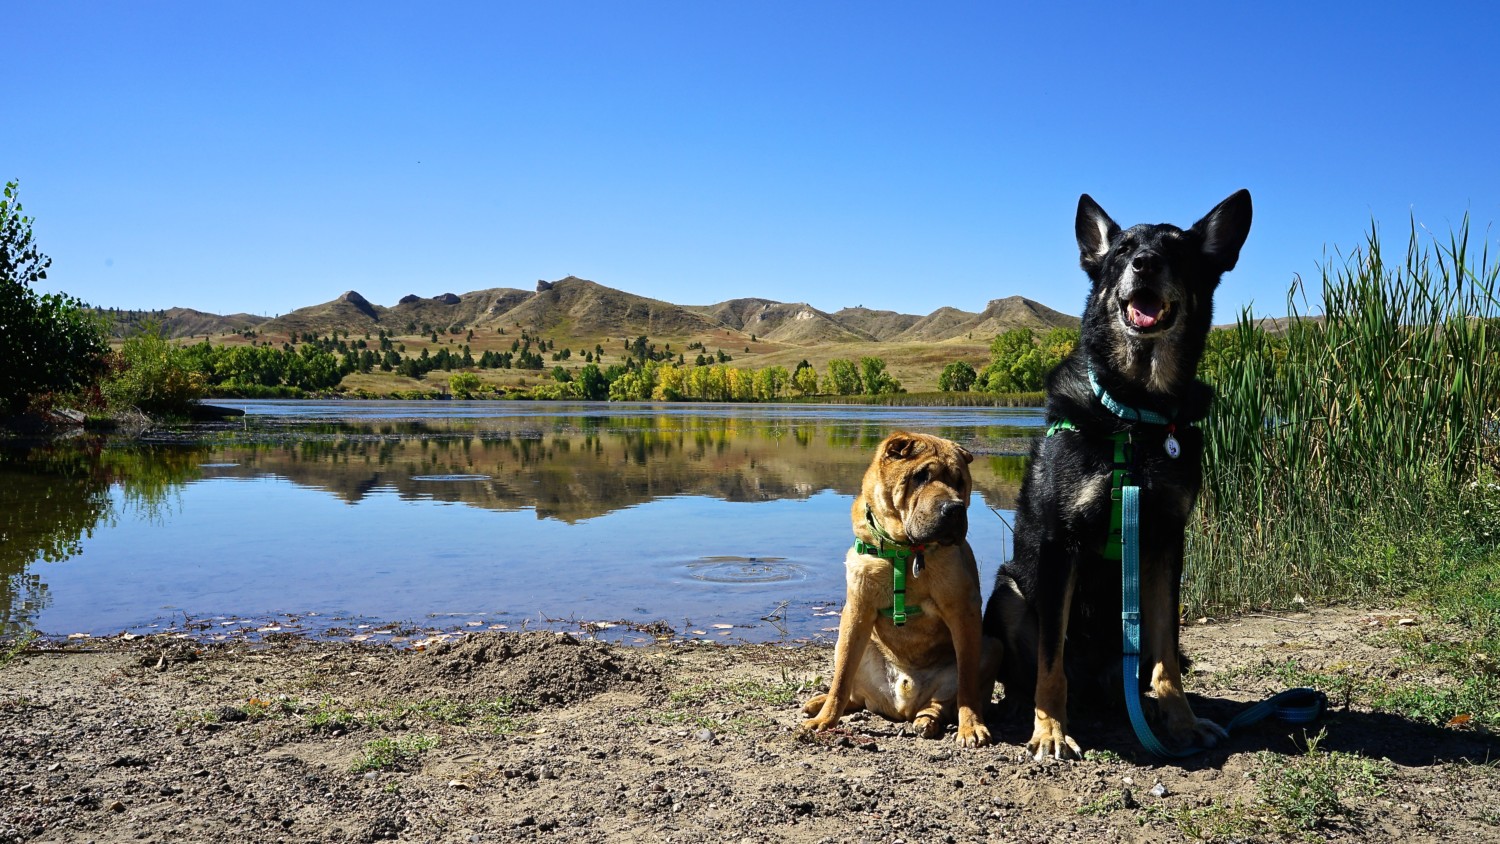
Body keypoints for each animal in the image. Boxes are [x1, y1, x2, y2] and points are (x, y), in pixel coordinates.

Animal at [798, 431, 996, 749]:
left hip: (991, 645)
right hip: (847, 640)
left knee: (940, 704)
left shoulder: (964, 613)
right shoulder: (856, 612)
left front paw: (971, 727)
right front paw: (824, 720)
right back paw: (818, 703)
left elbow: (967, 683)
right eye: (920, 476)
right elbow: (841, 679)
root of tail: (901, 704)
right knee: (853, 693)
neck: (904, 551)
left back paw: (926, 721)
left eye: (959, 481)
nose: (953, 508)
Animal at [984, 189, 1254, 758]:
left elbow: (1168, 656)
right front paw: (1049, 729)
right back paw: (1027, 707)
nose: (1145, 263)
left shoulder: (1166, 542)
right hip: (1010, 592)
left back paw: (1142, 708)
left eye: (1177, 250)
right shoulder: (1059, 545)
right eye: (1124, 248)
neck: (1133, 414)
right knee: (1034, 669)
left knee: (1135, 674)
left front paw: (1182, 722)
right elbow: (1049, 661)